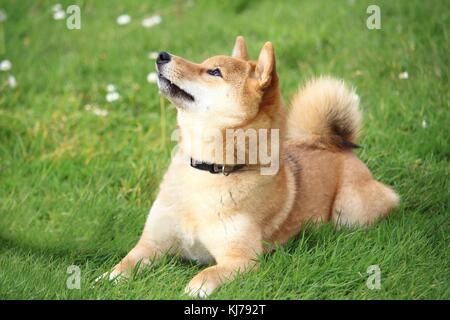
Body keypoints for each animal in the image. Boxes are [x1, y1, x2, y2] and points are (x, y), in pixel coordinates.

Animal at [101, 37, 398, 298]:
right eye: (204, 63)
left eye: (214, 71)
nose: (162, 55)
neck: (208, 172)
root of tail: (335, 146)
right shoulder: (152, 243)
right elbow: (125, 263)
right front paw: (105, 279)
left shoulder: (242, 258)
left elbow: (205, 274)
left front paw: (193, 289)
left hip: (349, 212)